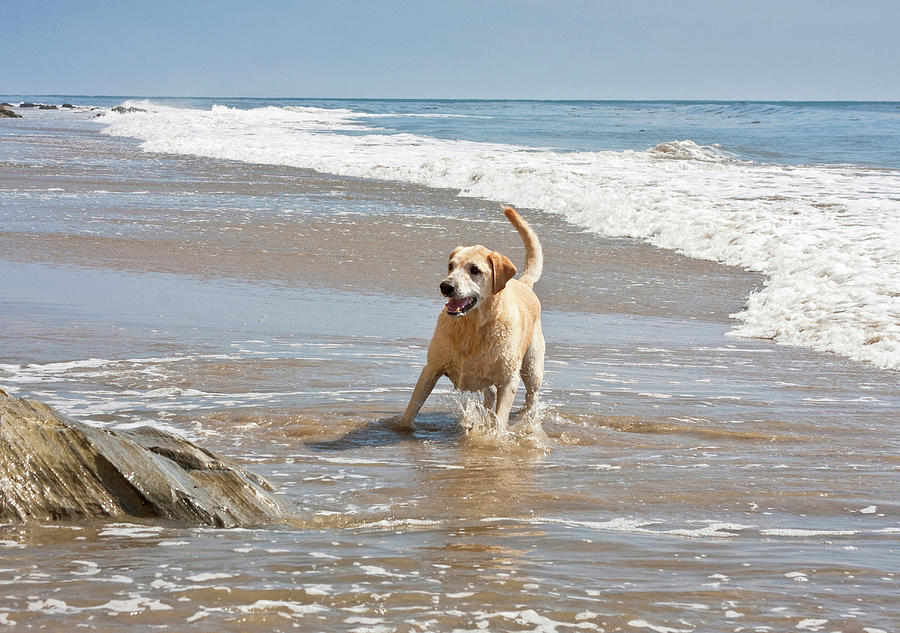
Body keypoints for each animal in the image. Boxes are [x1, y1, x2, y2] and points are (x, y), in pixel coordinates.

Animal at [398, 205, 544, 432]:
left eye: (475, 270)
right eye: (451, 266)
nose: (446, 286)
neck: (472, 327)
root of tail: (524, 283)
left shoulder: (508, 381)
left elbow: (500, 421)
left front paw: (495, 436)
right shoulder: (431, 369)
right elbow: (411, 409)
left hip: (532, 368)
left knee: (531, 398)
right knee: (490, 393)